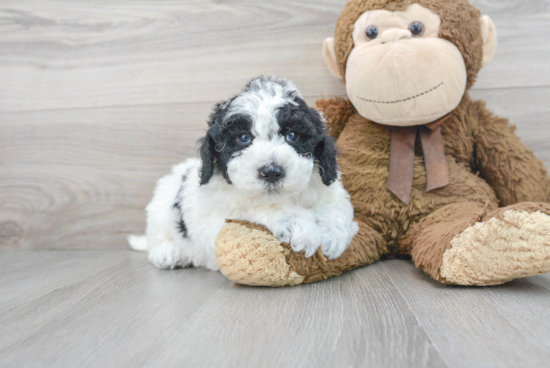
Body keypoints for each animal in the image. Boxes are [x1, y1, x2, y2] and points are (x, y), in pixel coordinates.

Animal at [131, 77, 360, 270]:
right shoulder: (217, 217)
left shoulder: (328, 186)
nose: (271, 172)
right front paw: (299, 227)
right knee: (157, 240)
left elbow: (337, 206)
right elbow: (255, 207)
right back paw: (169, 253)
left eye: (292, 135)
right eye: (243, 138)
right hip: (160, 214)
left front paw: (332, 235)